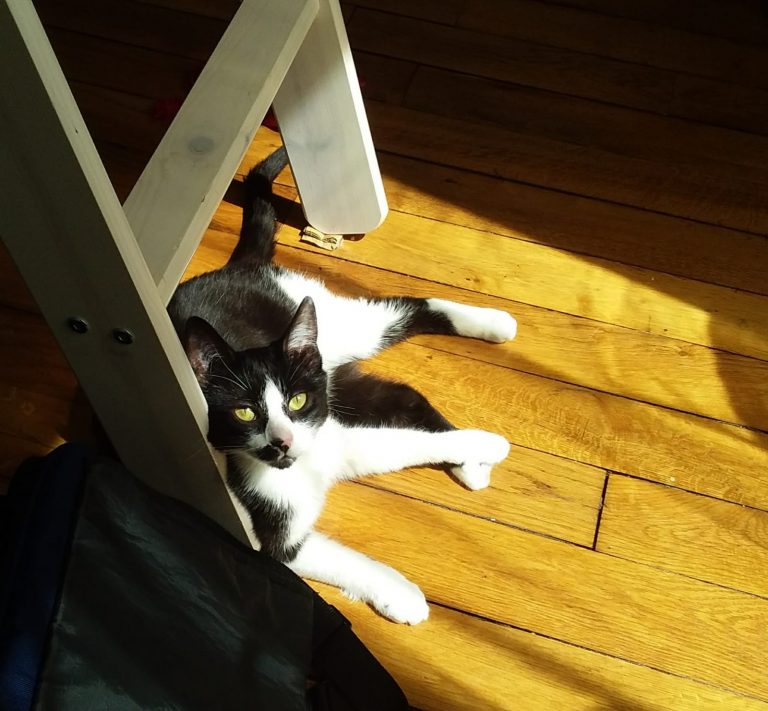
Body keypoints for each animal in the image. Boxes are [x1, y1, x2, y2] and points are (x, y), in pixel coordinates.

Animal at [168, 146, 517, 624]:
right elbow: (341, 559)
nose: (282, 441)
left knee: (407, 309)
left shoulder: (333, 436)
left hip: (333, 326)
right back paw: (471, 460)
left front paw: (487, 445)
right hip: (336, 379)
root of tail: (236, 267)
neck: (298, 470)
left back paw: (495, 323)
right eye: (244, 411)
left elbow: (408, 443)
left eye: (296, 401)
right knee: (402, 395)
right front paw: (401, 596)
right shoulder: (269, 535)